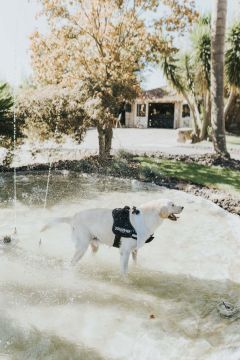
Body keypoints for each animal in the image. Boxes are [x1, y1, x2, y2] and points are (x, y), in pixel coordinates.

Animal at [41, 200, 184, 272]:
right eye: (172, 205)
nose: (182, 206)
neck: (146, 218)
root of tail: (73, 217)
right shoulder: (125, 251)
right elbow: (124, 270)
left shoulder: (134, 250)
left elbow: (135, 263)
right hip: (82, 247)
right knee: (72, 262)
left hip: (94, 245)